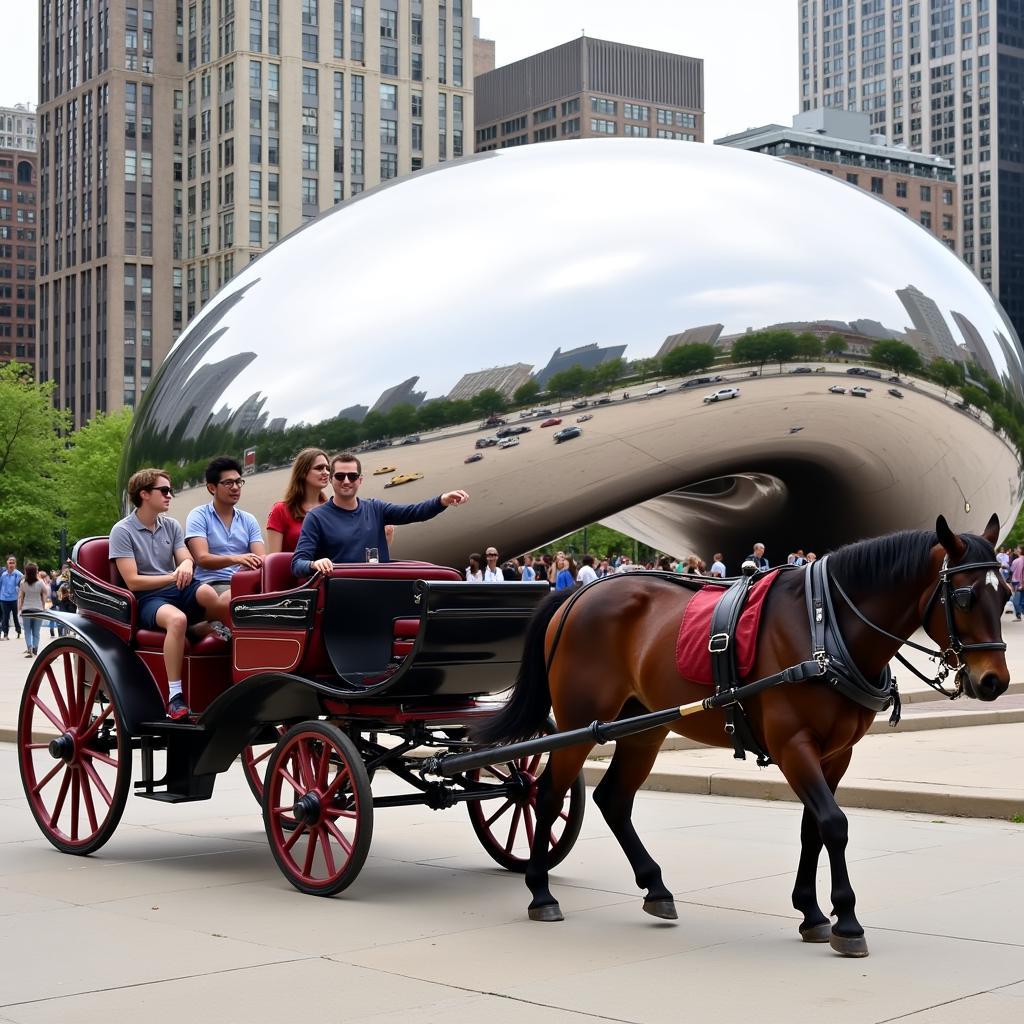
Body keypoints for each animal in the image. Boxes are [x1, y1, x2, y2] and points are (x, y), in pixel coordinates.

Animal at [477, 516, 1007, 954]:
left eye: (1004, 593)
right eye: (964, 597)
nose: (994, 681)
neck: (824, 627)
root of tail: (574, 595)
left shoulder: (835, 754)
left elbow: (813, 828)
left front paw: (812, 912)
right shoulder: (794, 746)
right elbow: (834, 824)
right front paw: (846, 919)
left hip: (643, 727)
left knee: (613, 798)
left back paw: (655, 886)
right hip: (577, 725)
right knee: (546, 796)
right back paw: (541, 890)